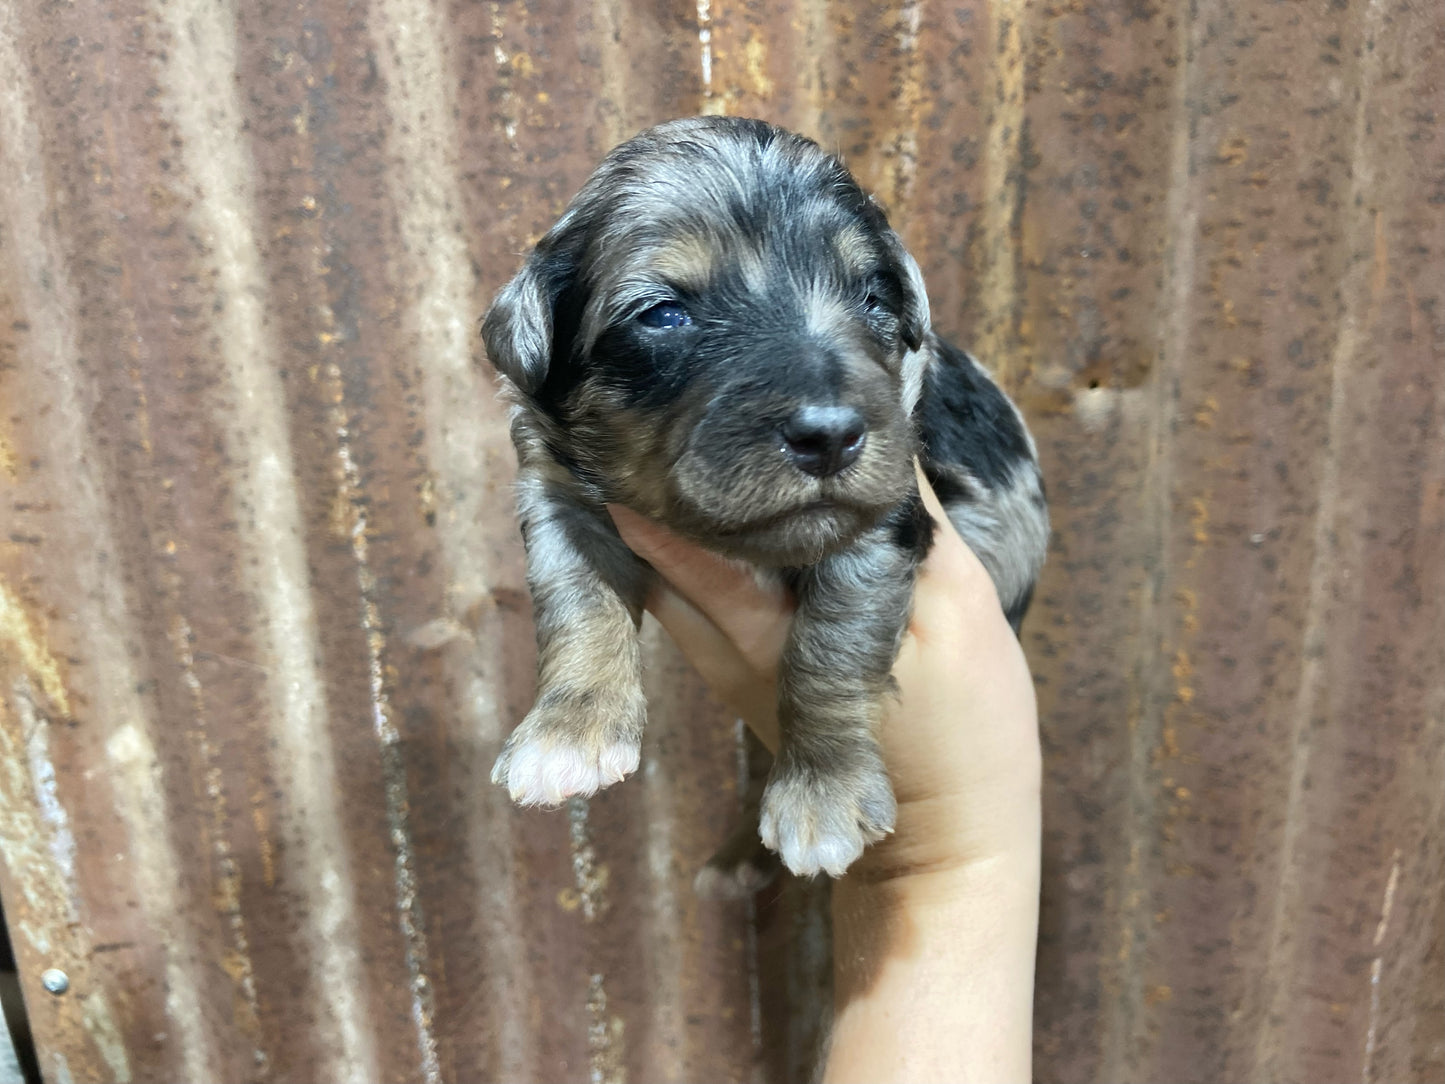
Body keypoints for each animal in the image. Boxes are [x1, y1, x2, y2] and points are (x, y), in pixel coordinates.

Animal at [479, 117, 1046, 884]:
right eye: (663, 314)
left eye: (874, 299)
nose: (831, 435)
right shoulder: (557, 494)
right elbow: (576, 603)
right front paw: (569, 731)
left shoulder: (883, 522)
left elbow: (829, 649)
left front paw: (823, 793)